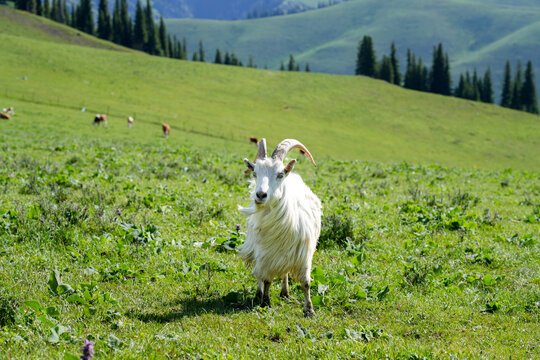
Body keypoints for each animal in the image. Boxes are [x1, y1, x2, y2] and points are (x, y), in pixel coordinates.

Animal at [239, 139, 320, 316]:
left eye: (280, 174)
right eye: (255, 173)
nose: (260, 195)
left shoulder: (303, 254)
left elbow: (306, 283)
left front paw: (309, 310)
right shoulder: (266, 255)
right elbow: (266, 279)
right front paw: (265, 303)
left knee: (284, 273)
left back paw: (285, 293)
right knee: (260, 275)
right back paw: (259, 294)